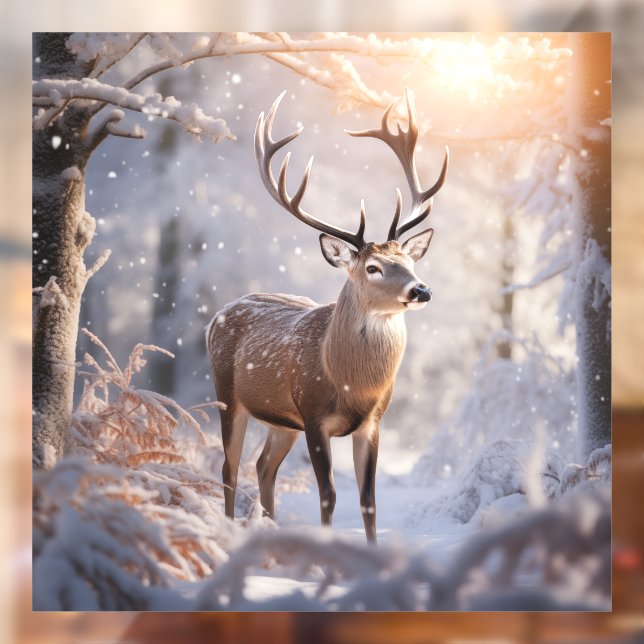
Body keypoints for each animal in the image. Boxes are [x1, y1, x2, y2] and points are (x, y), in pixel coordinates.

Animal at [206, 88, 448, 543]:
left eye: (408, 259)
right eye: (373, 268)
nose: (421, 290)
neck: (352, 384)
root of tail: (216, 315)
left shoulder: (372, 421)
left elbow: (369, 500)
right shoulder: (314, 414)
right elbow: (328, 496)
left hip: (282, 421)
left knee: (263, 466)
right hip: (228, 394)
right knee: (229, 469)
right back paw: (229, 533)